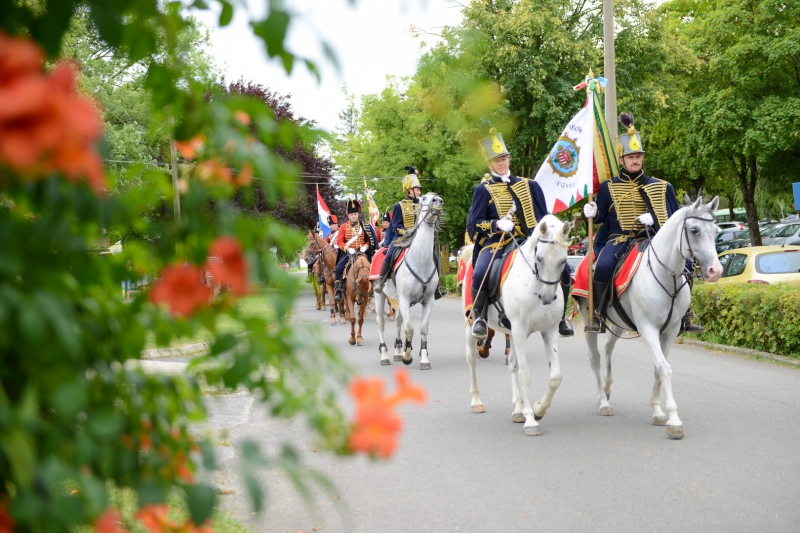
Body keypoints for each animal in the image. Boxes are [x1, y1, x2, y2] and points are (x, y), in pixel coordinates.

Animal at [376, 191, 444, 370]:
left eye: (436, 196)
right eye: (424, 198)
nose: (439, 201)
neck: (420, 261)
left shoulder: (428, 300)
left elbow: (423, 329)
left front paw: (424, 359)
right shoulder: (406, 299)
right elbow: (409, 329)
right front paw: (407, 356)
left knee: (397, 321)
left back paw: (397, 352)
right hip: (379, 296)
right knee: (381, 324)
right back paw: (384, 356)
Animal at [460, 214, 572, 434]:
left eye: (563, 261)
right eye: (539, 258)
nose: (547, 298)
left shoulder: (549, 330)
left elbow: (555, 376)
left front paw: (538, 409)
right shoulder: (520, 329)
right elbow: (525, 374)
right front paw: (531, 420)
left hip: (511, 331)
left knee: (512, 362)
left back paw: (518, 408)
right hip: (471, 323)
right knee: (472, 358)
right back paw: (476, 401)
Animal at [576, 195, 724, 436]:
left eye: (717, 230)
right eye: (694, 230)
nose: (715, 271)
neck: (666, 275)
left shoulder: (670, 330)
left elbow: (658, 368)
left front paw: (657, 410)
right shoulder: (648, 329)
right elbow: (664, 368)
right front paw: (674, 420)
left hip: (618, 321)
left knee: (608, 347)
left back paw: (607, 388)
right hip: (589, 315)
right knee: (595, 357)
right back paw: (603, 401)